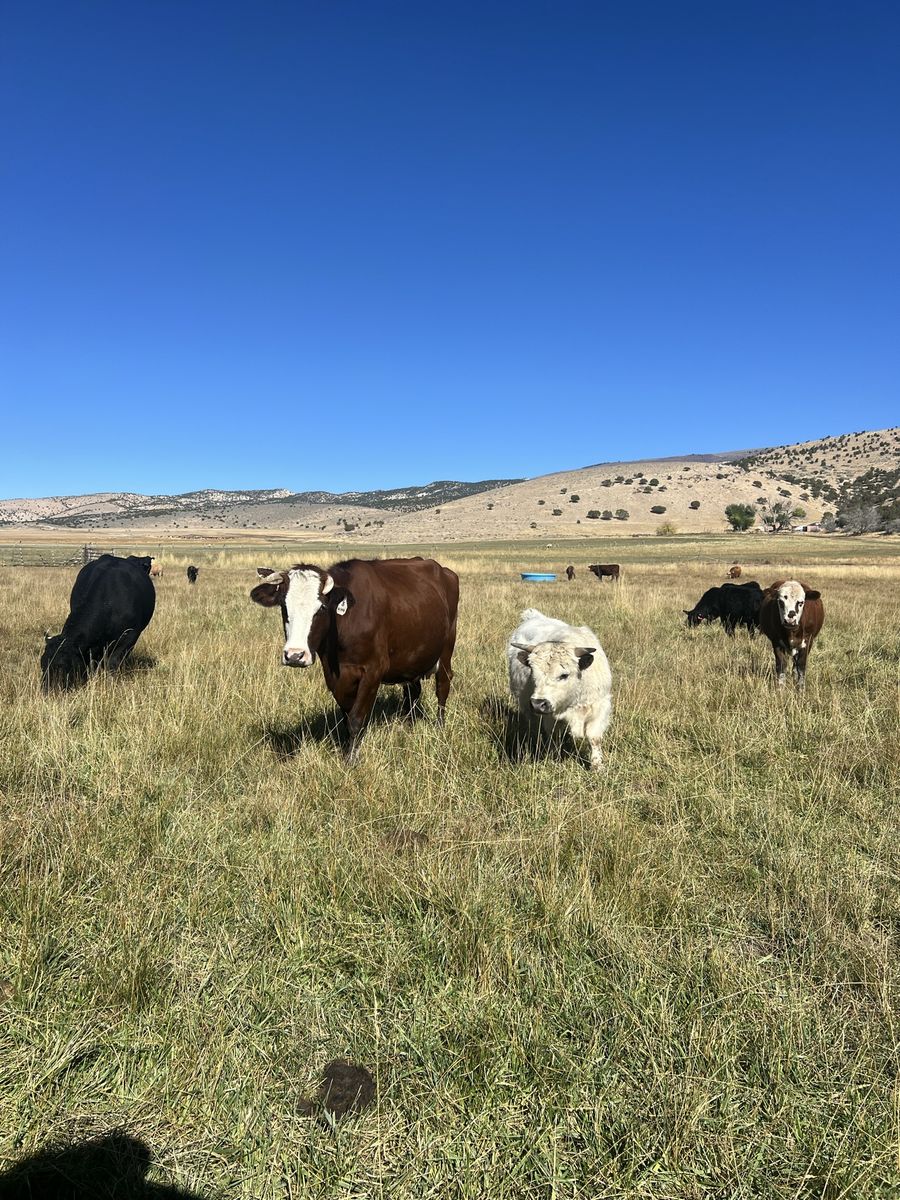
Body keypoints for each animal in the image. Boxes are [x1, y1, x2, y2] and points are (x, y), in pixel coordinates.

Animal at [251, 557, 459, 754]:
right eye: (284, 606)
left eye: (322, 608)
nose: (295, 655)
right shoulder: (335, 675)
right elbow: (346, 717)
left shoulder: (373, 671)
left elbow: (356, 720)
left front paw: (351, 759)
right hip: (411, 659)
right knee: (412, 692)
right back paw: (409, 726)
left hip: (446, 651)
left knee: (442, 686)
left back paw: (440, 727)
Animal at [507, 608, 612, 770]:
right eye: (532, 672)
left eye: (564, 675)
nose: (538, 704)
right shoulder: (549, 715)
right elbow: (554, 736)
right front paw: (554, 759)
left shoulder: (599, 707)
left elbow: (594, 738)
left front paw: (597, 766)